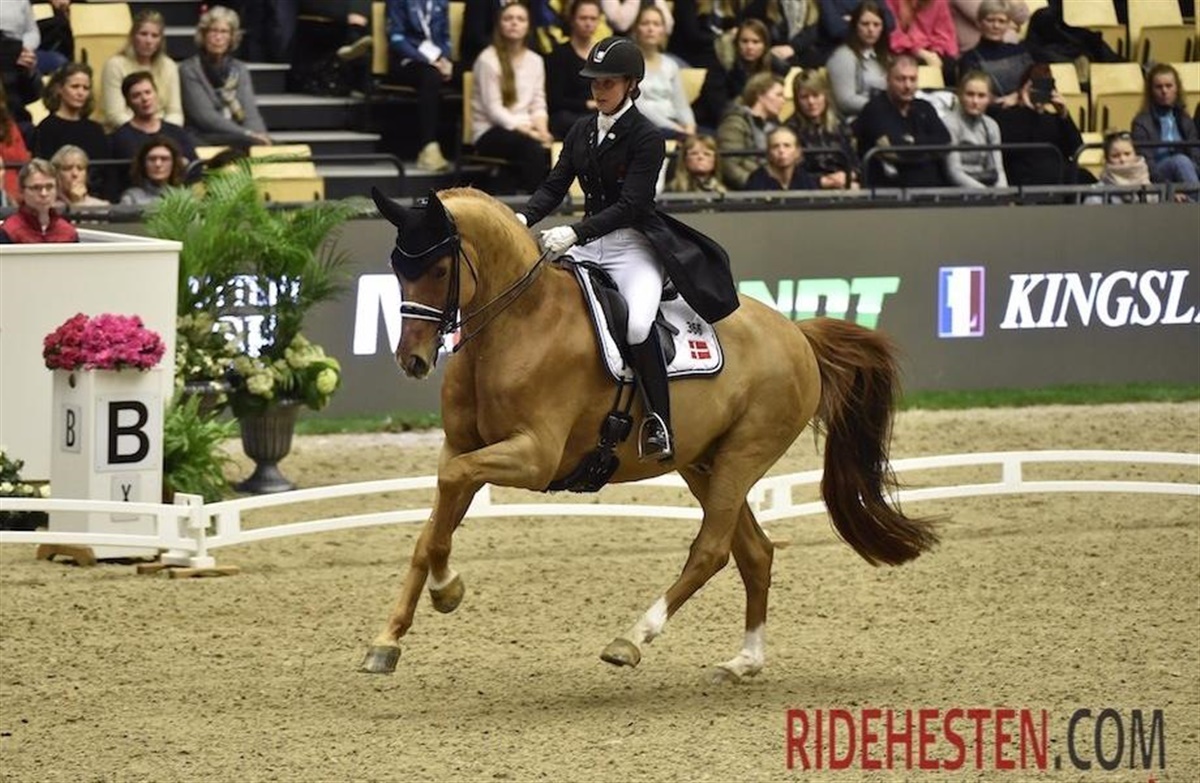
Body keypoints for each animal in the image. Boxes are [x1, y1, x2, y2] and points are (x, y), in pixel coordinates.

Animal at [361, 187, 938, 679]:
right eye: (396, 267)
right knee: (754, 552)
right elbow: (432, 528)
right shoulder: (462, 447)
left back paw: (632, 639)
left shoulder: (535, 456)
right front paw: (391, 638)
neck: (518, 324)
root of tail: (797, 333)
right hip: (703, 462)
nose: (412, 360)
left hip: (743, 456)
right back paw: (744, 661)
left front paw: (446, 590)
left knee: (712, 550)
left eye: (439, 268)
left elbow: (453, 490)